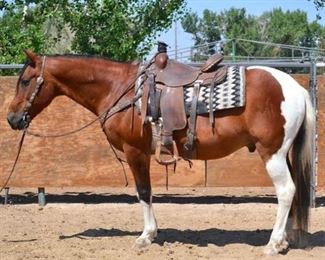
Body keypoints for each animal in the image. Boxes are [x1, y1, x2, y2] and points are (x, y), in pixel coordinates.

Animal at [6, 49, 314, 255]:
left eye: (25, 81)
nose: (12, 119)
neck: (120, 89)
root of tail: (296, 89)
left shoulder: (135, 152)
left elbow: (144, 192)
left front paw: (146, 236)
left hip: (271, 153)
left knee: (286, 191)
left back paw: (273, 244)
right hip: (282, 153)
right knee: (292, 191)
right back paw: (284, 239)